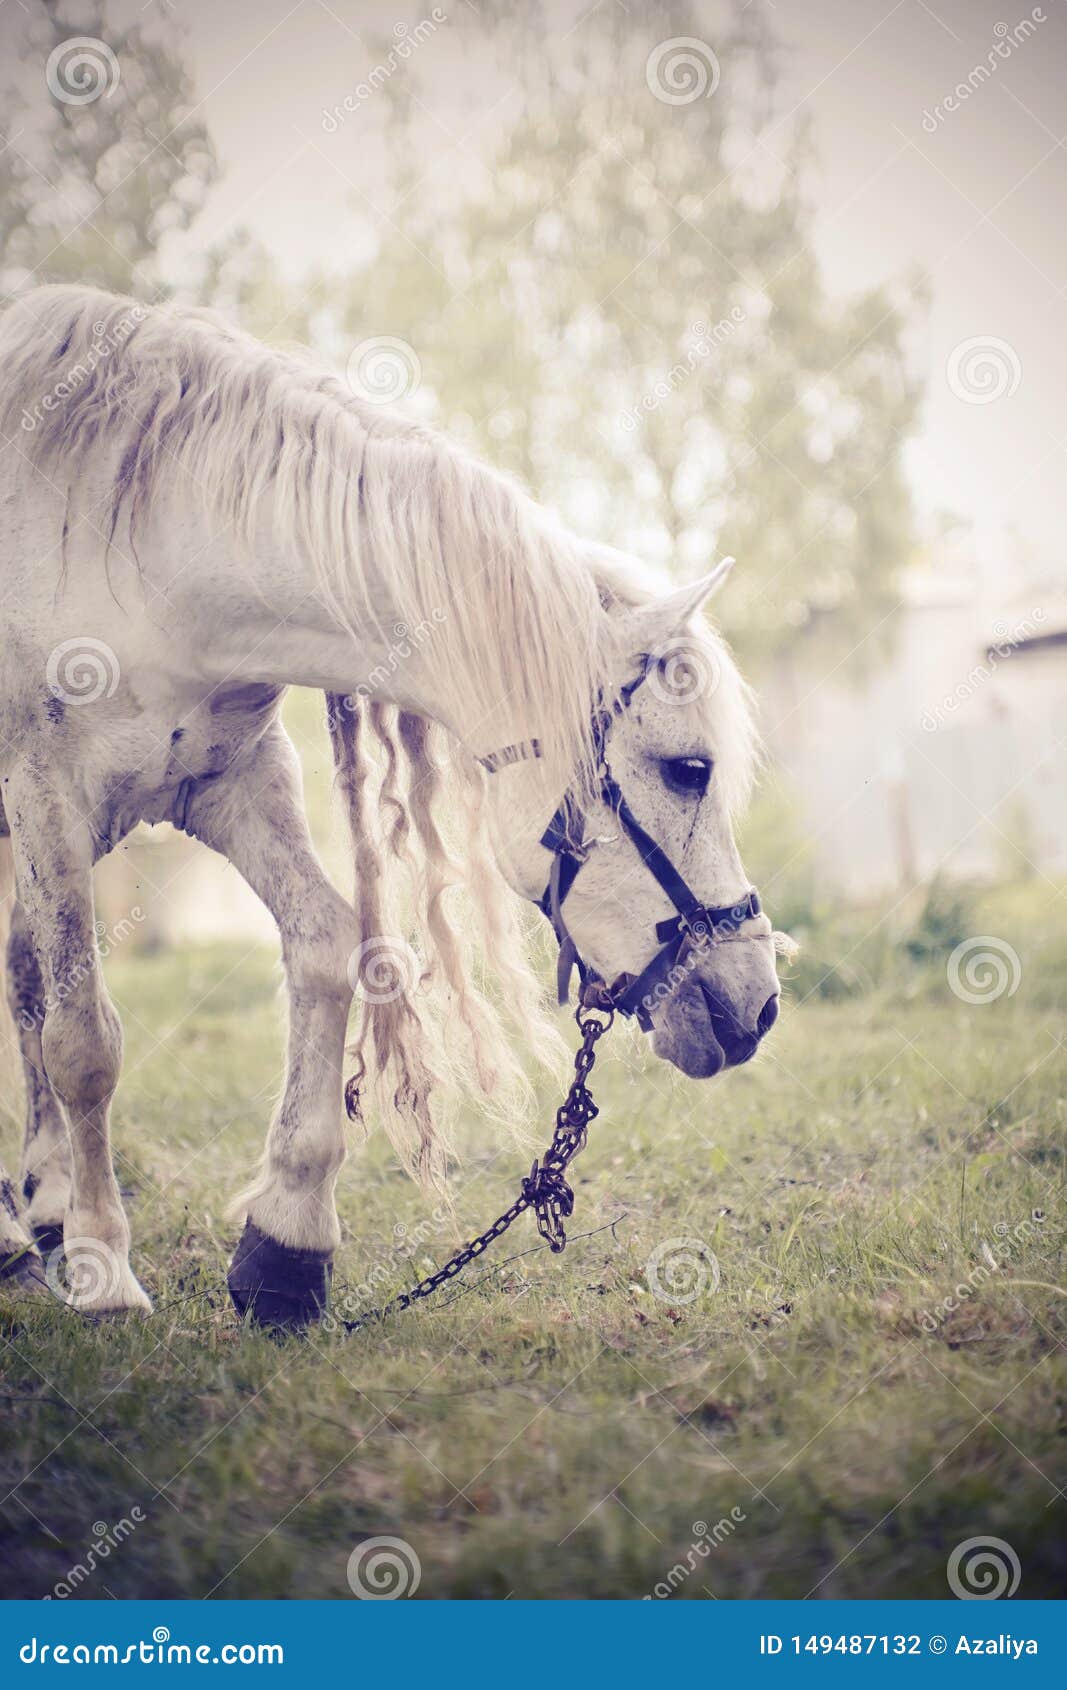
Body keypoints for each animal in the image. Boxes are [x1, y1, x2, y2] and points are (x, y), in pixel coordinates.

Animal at [0, 283, 777, 1324]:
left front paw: (287, 1242)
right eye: (688, 769)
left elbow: (328, 950)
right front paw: (101, 1266)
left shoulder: (233, 783)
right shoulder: (48, 795)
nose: (756, 1005)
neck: (143, 544)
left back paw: (35, 1209)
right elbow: (83, 1038)